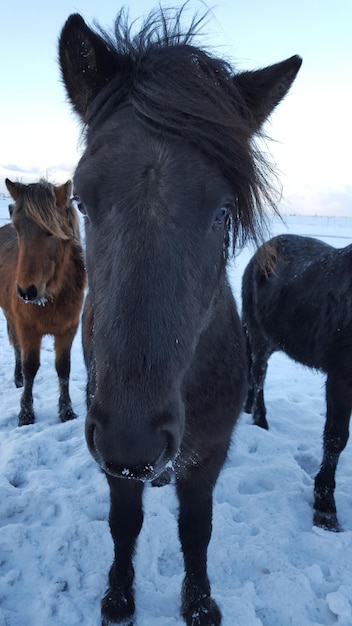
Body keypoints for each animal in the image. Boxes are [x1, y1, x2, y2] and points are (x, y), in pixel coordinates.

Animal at [1, 178, 86, 426]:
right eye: (18, 229)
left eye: (51, 232)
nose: (27, 291)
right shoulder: (28, 329)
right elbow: (30, 368)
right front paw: (26, 414)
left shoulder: (68, 329)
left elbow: (63, 368)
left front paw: (66, 411)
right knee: (16, 347)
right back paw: (17, 378)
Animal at [57, 6, 300, 624]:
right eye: (80, 201)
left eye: (222, 211)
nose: (133, 440)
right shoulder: (112, 459)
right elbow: (125, 524)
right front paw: (119, 598)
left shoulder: (209, 455)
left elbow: (196, 530)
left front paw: (199, 603)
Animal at [242, 234, 352, 532]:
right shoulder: (340, 378)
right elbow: (335, 438)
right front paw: (325, 510)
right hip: (259, 336)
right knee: (258, 375)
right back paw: (260, 421)